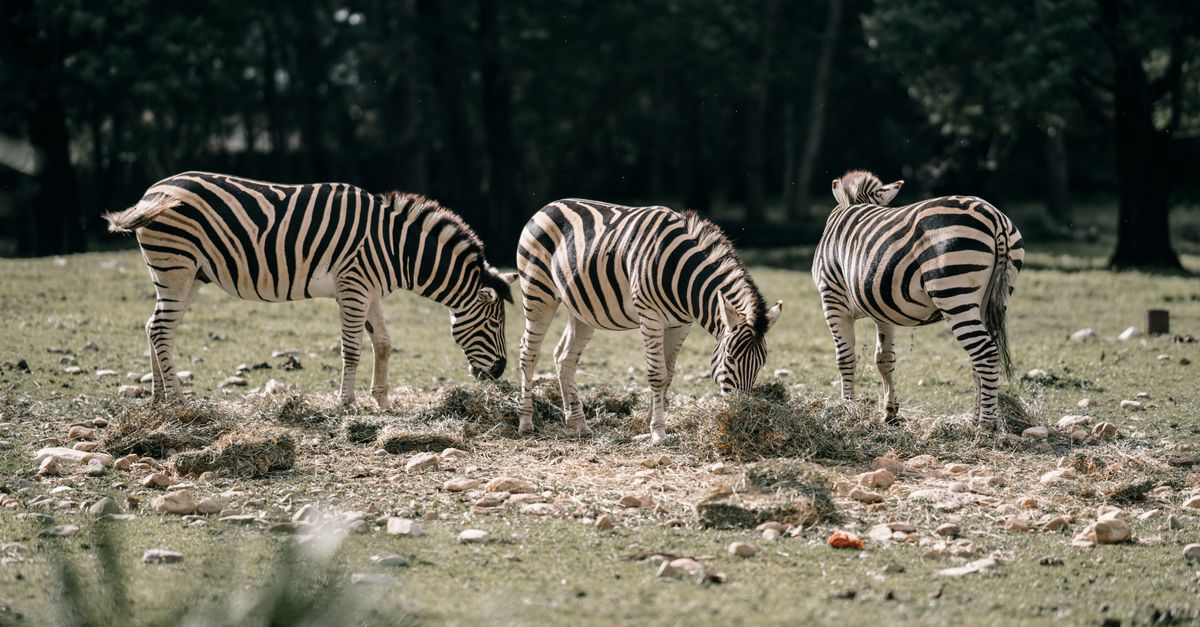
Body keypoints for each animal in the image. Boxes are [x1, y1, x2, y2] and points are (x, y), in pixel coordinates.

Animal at [104, 171, 516, 409]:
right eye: (494, 325)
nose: (499, 373)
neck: (397, 248)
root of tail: (152, 191)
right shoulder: (353, 285)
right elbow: (352, 348)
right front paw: (347, 404)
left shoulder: (369, 290)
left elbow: (383, 342)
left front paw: (382, 402)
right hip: (176, 266)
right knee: (161, 329)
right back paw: (178, 401)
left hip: (189, 274)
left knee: (154, 327)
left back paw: (158, 398)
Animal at [516, 199, 783, 443]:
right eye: (730, 358)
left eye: (761, 363)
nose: (744, 414)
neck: (682, 276)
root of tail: (549, 205)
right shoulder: (650, 317)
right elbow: (657, 374)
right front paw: (658, 433)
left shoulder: (680, 325)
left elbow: (669, 374)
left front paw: (649, 422)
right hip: (538, 293)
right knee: (528, 353)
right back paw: (526, 423)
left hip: (581, 309)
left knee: (565, 358)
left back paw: (577, 424)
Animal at [813, 170, 1024, 427]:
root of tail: (993, 215)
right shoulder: (882, 309)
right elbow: (884, 359)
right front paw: (890, 413)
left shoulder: (832, 300)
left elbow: (845, 359)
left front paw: (846, 409)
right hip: (991, 299)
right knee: (982, 356)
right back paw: (974, 419)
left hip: (954, 294)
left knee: (986, 352)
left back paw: (985, 425)